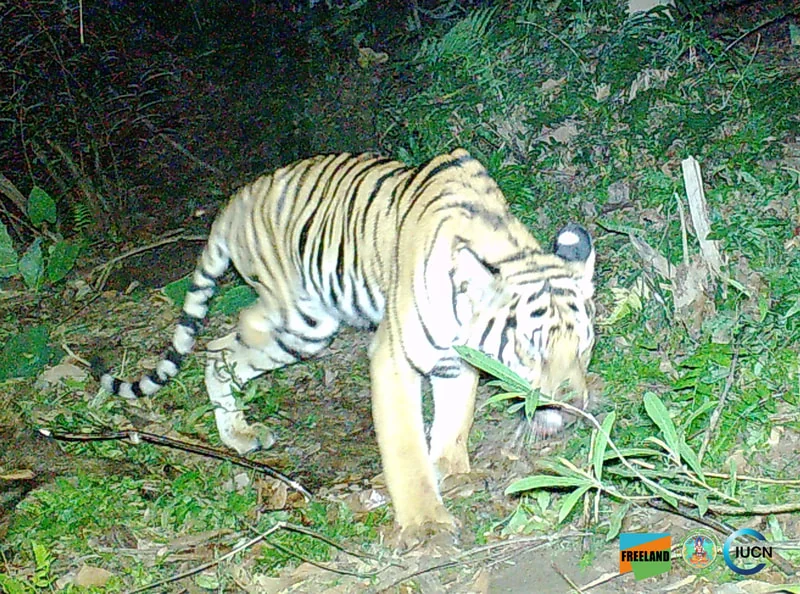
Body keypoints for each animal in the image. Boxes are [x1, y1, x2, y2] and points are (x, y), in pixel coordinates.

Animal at [97, 149, 596, 546]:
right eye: (531, 350)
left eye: (584, 348)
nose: (574, 408)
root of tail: (235, 201)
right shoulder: (393, 359)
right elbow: (406, 449)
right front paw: (425, 523)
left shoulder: (457, 363)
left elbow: (455, 422)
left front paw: (453, 472)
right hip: (302, 321)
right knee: (228, 338)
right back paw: (237, 424)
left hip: (302, 329)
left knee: (223, 348)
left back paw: (238, 434)